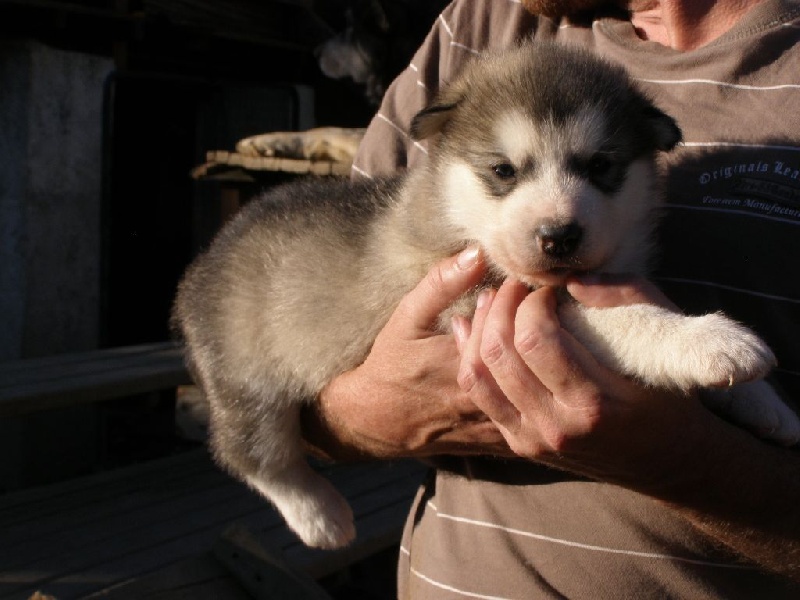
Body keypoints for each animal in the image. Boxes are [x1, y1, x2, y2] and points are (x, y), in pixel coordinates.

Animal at [172, 42, 796, 548]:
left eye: (600, 166)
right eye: (502, 170)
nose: (558, 235)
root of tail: (200, 265)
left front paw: (767, 403)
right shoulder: (484, 302)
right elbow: (625, 319)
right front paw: (707, 340)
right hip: (246, 376)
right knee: (249, 453)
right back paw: (319, 514)